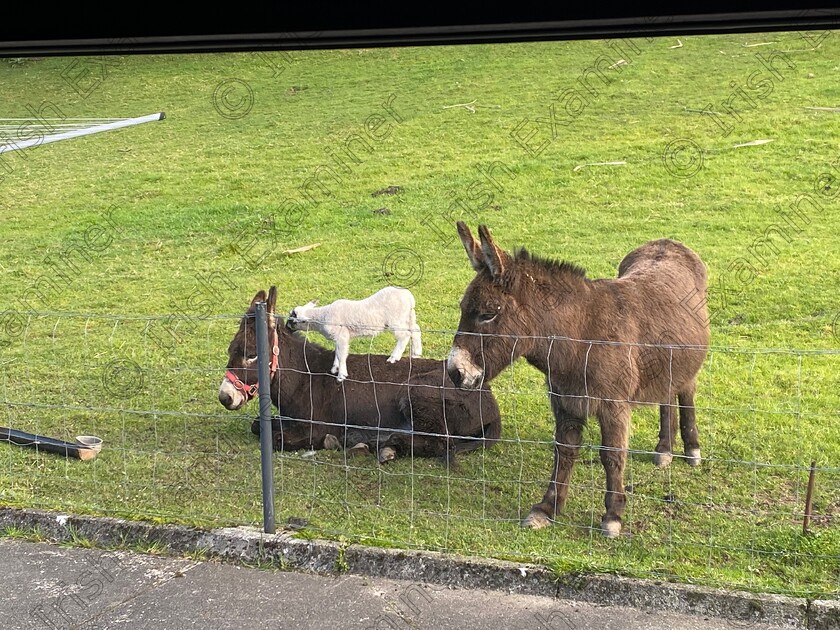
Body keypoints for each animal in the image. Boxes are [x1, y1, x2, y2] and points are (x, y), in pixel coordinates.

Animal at [286, 288, 424, 386]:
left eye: (292, 318)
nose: (287, 327)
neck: (322, 316)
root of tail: (409, 296)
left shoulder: (342, 334)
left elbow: (341, 354)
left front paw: (341, 375)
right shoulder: (340, 337)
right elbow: (338, 352)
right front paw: (335, 367)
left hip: (396, 319)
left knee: (404, 335)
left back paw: (394, 357)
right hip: (408, 316)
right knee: (415, 329)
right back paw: (416, 353)